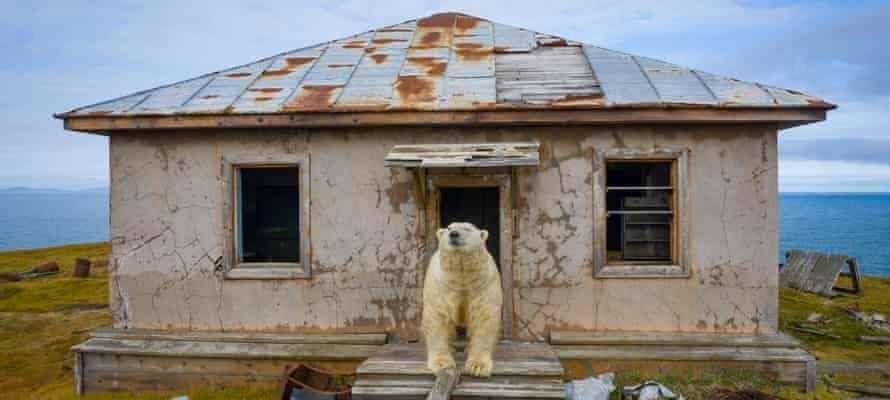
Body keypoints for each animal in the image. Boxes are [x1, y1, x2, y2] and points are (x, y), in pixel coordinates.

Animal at [422, 220, 500, 376]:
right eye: (449, 228)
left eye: (467, 228)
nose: (454, 234)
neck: (461, 276)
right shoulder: (441, 284)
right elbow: (437, 316)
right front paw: (442, 363)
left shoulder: (483, 284)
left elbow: (484, 317)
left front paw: (477, 366)